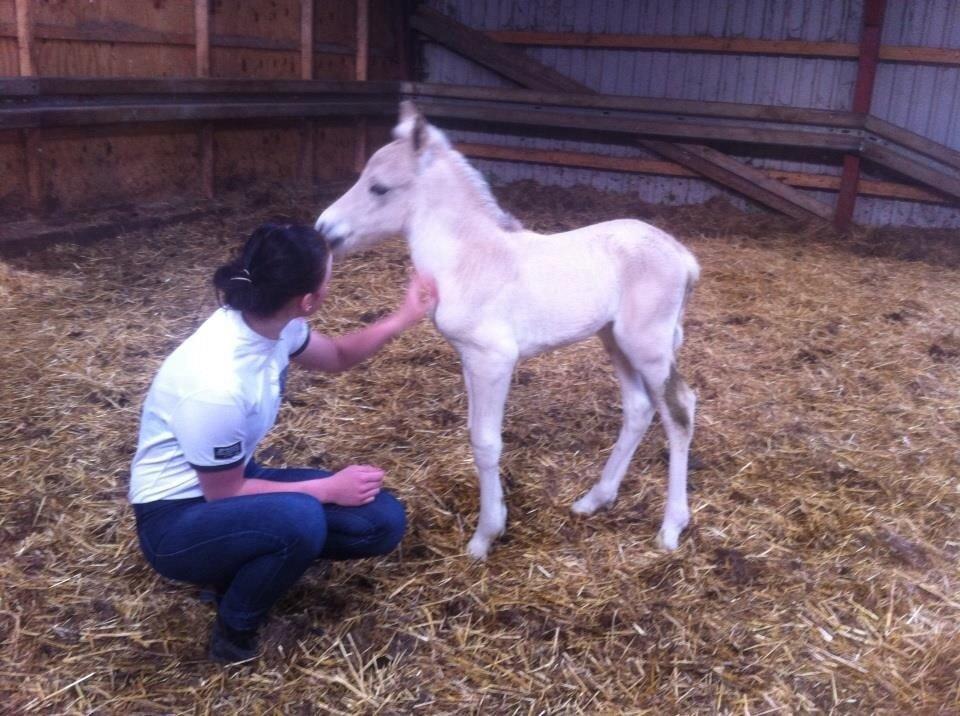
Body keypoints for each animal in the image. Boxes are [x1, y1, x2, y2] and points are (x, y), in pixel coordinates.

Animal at [318, 102, 700, 560]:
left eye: (379, 187)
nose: (323, 229)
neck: (471, 258)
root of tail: (682, 254)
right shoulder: (468, 356)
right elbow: (474, 433)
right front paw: (496, 517)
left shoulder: (494, 358)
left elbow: (486, 442)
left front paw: (485, 535)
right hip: (615, 339)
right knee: (640, 408)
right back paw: (595, 499)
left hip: (649, 344)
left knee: (679, 409)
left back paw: (671, 526)